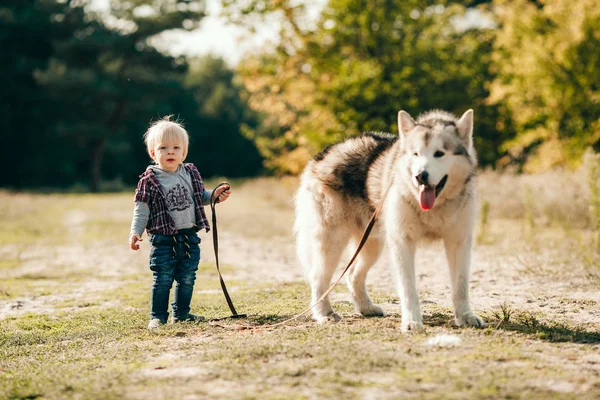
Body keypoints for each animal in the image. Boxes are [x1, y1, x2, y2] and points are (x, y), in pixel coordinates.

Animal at [296, 109, 488, 332]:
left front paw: (466, 317)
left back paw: (366, 307)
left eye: (439, 153)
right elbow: (408, 288)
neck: (433, 207)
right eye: (415, 154)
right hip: (332, 242)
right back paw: (324, 313)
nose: (420, 176)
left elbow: (461, 286)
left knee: (352, 274)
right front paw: (412, 321)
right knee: (319, 279)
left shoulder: (459, 242)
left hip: (371, 244)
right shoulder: (402, 242)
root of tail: (325, 153)